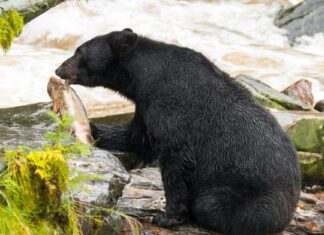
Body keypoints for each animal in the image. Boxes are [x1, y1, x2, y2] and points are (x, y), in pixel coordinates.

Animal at [55, 28, 302, 234]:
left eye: (79, 52)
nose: (58, 69)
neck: (146, 77)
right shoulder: (146, 105)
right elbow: (137, 136)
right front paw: (91, 128)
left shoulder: (173, 106)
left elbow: (176, 158)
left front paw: (167, 216)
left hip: (251, 197)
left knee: (212, 205)